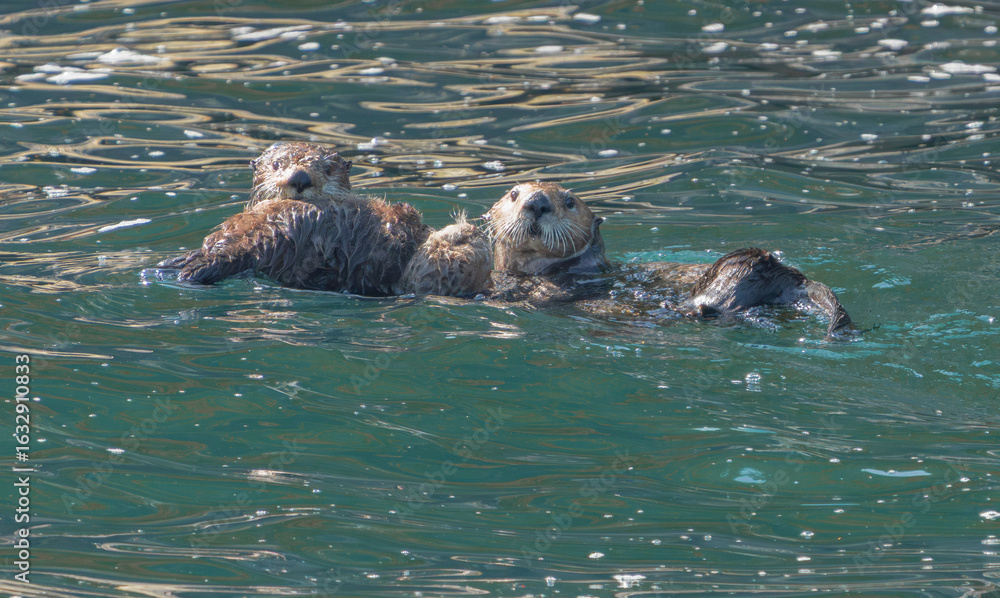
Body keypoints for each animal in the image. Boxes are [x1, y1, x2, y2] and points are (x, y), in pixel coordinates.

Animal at [484, 181, 855, 338]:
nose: (537, 202)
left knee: (711, 306)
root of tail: (792, 276)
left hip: (738, 265)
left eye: (570, 201)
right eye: (514, 193)